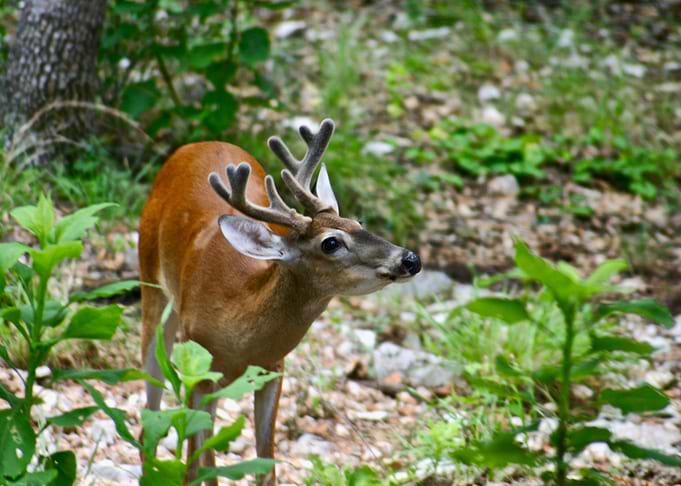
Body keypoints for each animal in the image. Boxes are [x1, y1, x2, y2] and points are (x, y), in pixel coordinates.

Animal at [138, 118, 421, 485]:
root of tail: (194, 145)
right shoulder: (198, 367)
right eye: (331, 242)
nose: (410, 259)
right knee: (150, 413)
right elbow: (202, 466)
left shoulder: (273, 367)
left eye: (358, 223)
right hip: (151, 283)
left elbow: (265, 464)